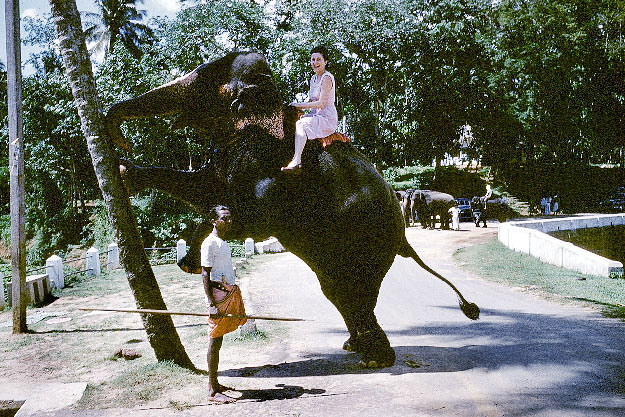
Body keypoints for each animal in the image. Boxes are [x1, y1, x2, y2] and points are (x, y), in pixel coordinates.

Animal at [106, 51, 478, 368]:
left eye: (213, 87)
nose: (119, 137)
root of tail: (403, 237)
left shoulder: (269, 163)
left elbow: (247, 213)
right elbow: (206, 185)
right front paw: (126, 175)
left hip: (369, 241)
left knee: (355, 291)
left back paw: (375, 358)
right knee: (337, 290)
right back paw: (356, 346)